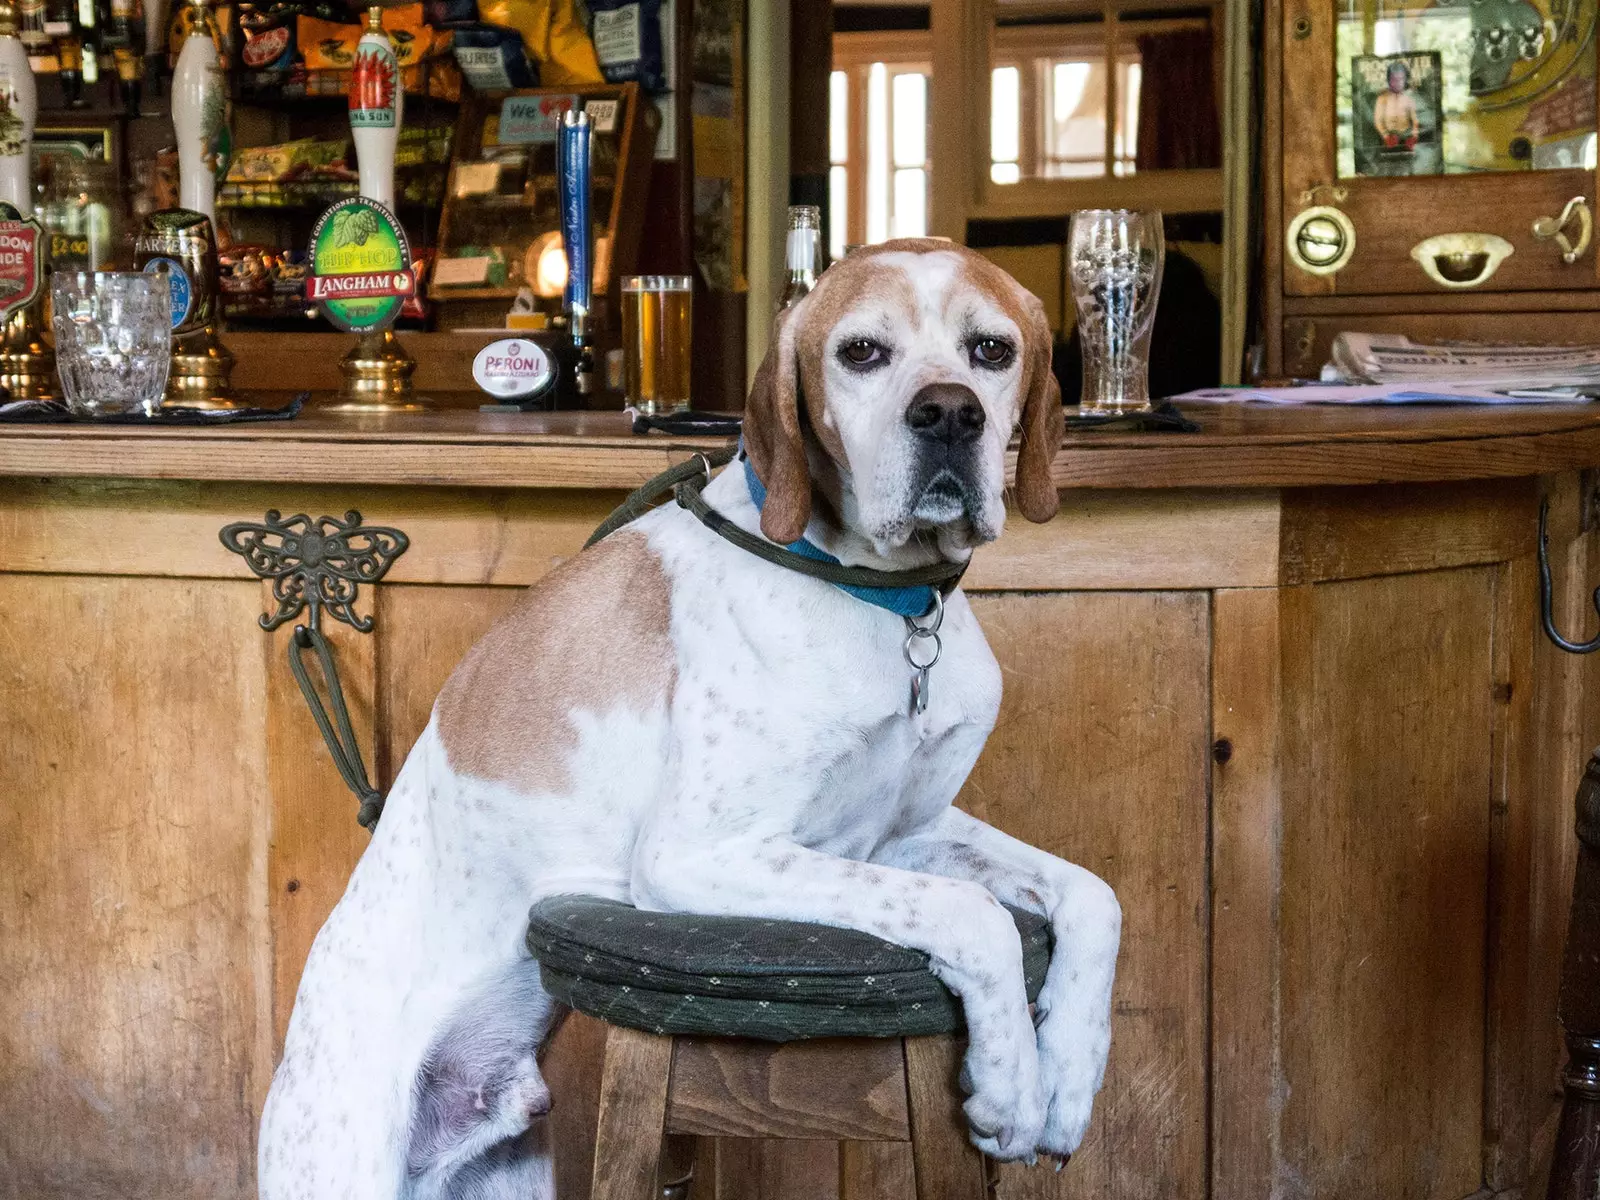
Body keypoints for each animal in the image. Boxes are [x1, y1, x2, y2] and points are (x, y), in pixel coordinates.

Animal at [256, 241, 1120, 1200]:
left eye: (992, 351)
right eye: (862, 352)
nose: (949, 413)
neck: (885, 602)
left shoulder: (903, 837)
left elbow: (1091, 895)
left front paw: (1066, 1080)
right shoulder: (696, 857)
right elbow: (976, 916)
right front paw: (1009, 1087)